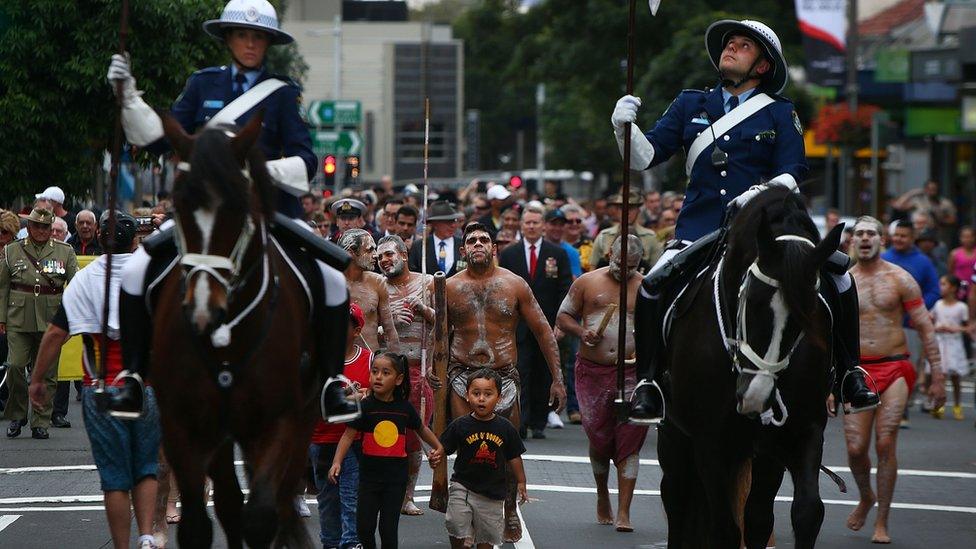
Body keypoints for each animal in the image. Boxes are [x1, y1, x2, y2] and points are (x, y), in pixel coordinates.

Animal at [152, 113, 318, 544]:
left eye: (240, 207)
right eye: (178, 204)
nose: (204, 311)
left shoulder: (278, 421)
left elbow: (260, 514)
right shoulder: (182, 424)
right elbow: (198, 522)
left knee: (278, 498)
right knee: (227, 501)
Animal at [660, 186, 844, 544]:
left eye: (807, 315)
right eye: (754, 301)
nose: (757, 396)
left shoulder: (800, 431)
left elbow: (805, 512)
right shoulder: (710, 441)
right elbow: (725, 529)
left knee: (756, 516)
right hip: (676, 434)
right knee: (675, 497)